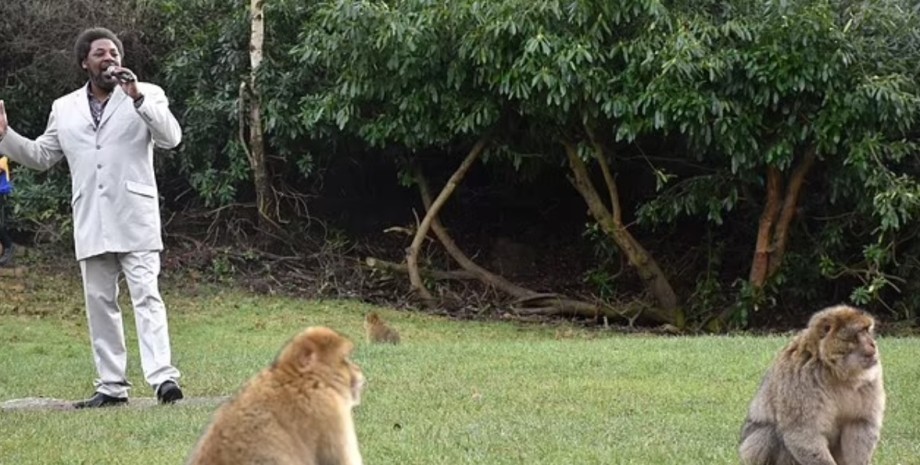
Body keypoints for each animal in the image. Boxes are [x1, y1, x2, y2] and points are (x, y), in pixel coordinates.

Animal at [740, 304, 884, 464]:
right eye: (860, 332)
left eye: (868, 330)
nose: (873, 344)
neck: (834, 371)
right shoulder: (800, 379)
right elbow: (803, 433)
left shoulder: (871, 377)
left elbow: (860, 423)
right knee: (768, 433)